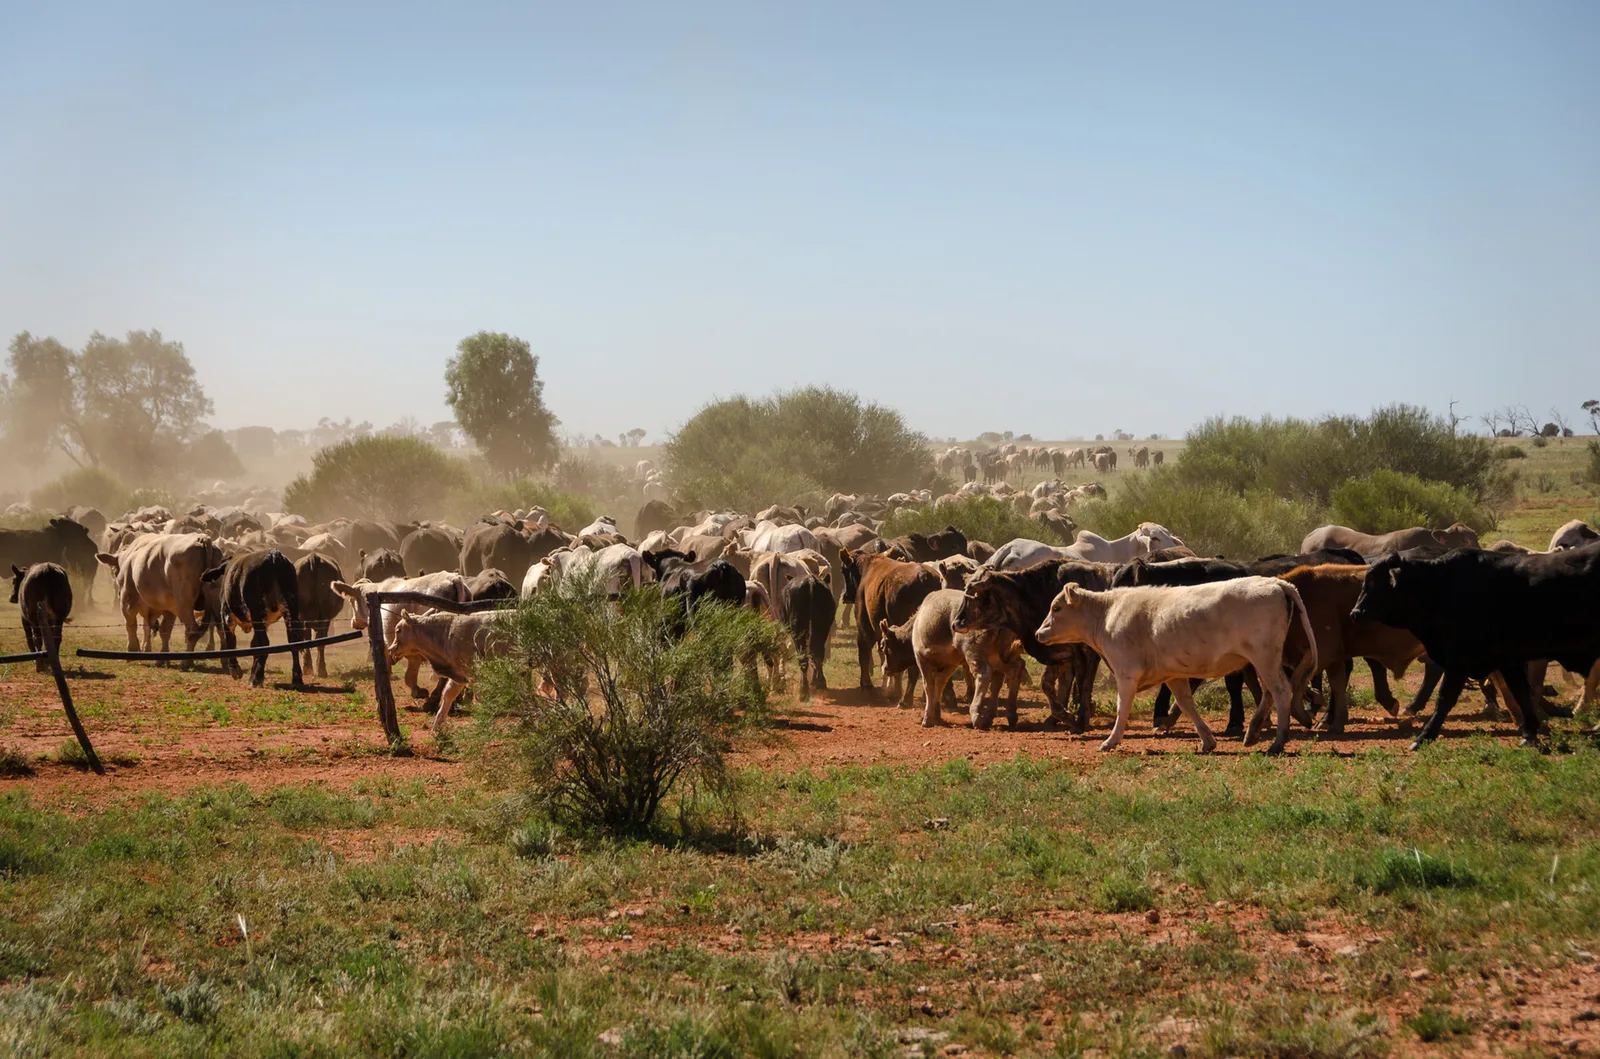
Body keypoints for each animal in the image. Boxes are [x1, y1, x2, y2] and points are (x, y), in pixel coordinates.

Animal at [200, 550, 305, 688]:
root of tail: (274, 555)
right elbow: (254, 645)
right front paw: (251, 675)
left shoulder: (227, 617)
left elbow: (230, 642)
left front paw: (235, 670)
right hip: (290, 611)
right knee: (293, 641)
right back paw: (296, 678)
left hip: (257, 613)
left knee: (265, 643)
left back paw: (258, 678)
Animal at [1036, 577, 1316, 754]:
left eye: (1056, 608)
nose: (1039, 633)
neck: (1106, 613)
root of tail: (1276, 582)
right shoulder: (1172, 675)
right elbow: (1186, 703)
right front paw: (1207, 741)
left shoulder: (1126, 672)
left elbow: (1121, 708)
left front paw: (1111, 741)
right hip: (1265, 660)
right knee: (1270, 693)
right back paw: (1253, 733)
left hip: (1263, 657)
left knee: (1281, 691)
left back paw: (1277, 743)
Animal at [1350, 545, 1600, 748]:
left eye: (1374, 582)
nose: (1355, 613)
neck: (1440, 588)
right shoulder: (1508, 660)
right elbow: (1521, 692)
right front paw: (1529, 732)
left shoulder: (1459, 661)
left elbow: (1445, 699)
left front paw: (1423, 737)